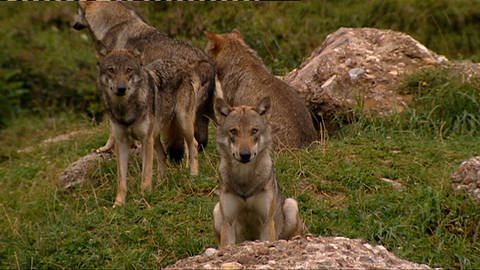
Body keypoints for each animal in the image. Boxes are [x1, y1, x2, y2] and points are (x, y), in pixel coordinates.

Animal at [73, 2, 216, 162]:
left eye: (77, 9)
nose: (73, 23)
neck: (114, 24)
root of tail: (207, 64)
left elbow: (112, 131)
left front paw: (105, 148)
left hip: (183, 116)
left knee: (193, 144)